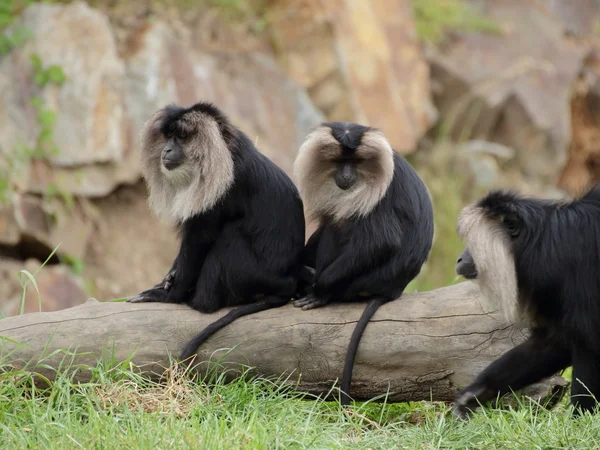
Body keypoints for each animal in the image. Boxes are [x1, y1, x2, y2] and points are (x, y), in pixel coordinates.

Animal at [126, 102, 304, 362]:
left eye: (181, 137)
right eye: (169, 136)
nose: (167, 149)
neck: (223, 151)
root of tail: (287, 281)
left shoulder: (221, 188)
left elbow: (200, 240)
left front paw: (171, 296)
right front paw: (168, 278)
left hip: (251, 272)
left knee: (229, 236)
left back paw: (199, 301)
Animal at [290, 122, 432, 404]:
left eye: (355, 162)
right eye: (339, 161)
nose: (346, 175)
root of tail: (393, 290)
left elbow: (381, 242)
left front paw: (319, 289)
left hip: (359, 283)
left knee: (337, 227)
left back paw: (318, 290)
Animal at [452, 186, 600, 418]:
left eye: (473, 246)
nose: (460, 258)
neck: (543, 241)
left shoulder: (574, 268)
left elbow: (588, 342)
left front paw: (581, 416)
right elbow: (555, 341)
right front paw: (477, 393)